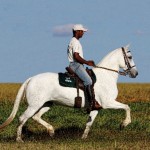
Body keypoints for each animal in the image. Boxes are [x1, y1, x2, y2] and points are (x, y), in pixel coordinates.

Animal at [0, 45, 138, 142]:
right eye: (130, 57)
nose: (135, 73)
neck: (106, 76)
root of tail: (31, 78)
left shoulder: (96, 108)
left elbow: (89, 123)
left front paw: (83, 138)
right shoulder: (108, 102)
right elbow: (127, 107)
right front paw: (124, 124)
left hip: (47, 104)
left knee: (36, 117)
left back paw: (51, 131)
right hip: (34, 105)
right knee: (22, 118)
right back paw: (19, 139)